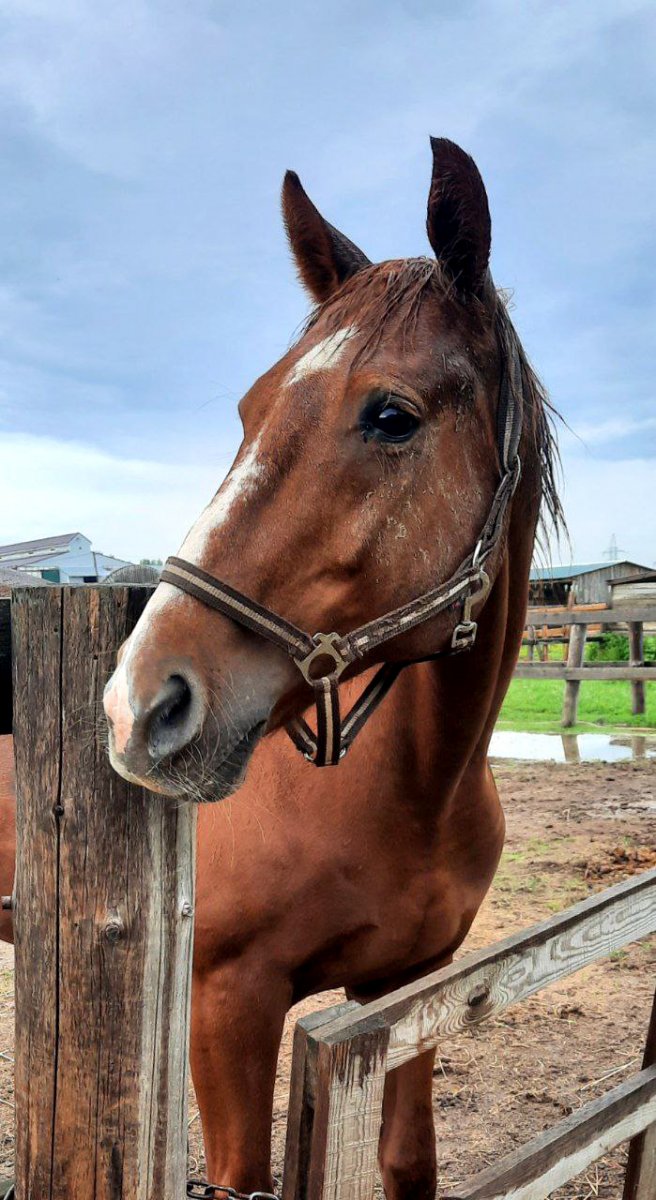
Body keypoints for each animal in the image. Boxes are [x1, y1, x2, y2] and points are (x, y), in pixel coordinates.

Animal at [1, 142, 563, 1200]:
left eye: (391, 415)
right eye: (248, 410)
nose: (141, 705)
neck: (408, 793)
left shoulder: (409, 991)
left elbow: (406, 1160)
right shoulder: (228, 1008)